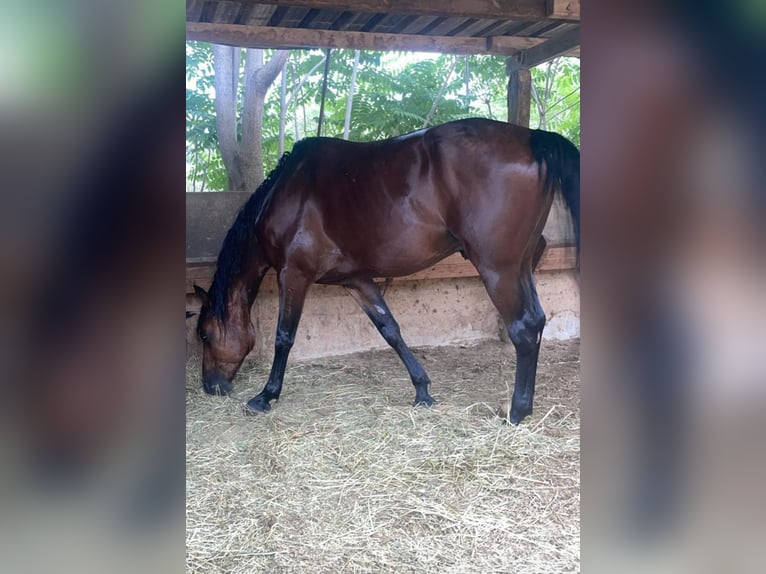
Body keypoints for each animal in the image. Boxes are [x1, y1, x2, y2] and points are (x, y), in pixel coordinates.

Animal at [195, 118, 580, 424]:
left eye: (204, 335)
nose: (211, 387)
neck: (286, 194)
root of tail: (532, 137)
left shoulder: (294, 275)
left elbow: (283, 337)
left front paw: (266, 395)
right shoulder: (356, 280)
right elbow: (390, 329)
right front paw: (422, 389)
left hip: (498, 270)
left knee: (524, 328)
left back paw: (517, 411)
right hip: (520, 267)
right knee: (537, 321)